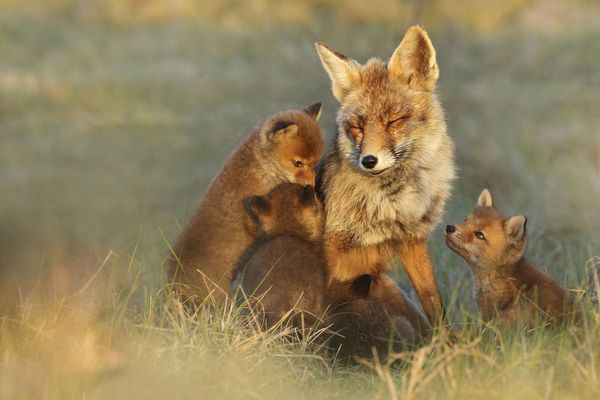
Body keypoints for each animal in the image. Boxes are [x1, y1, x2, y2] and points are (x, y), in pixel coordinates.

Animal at [314, 25, 454, 324]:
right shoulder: (331, 248)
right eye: (357, 127)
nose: (368, 160)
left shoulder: (412, 239)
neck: (390, 204)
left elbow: (434, 304)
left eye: (393, 121)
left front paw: (446, 338)